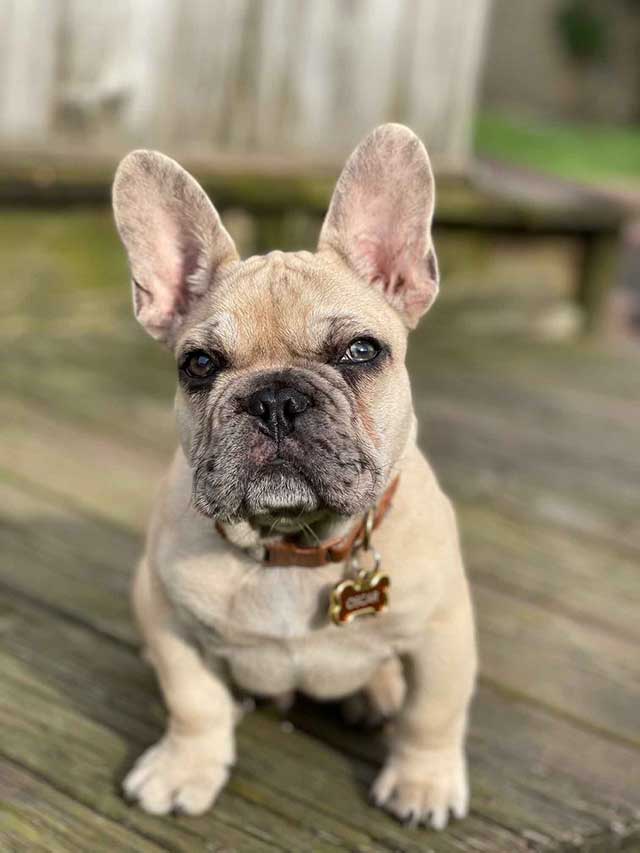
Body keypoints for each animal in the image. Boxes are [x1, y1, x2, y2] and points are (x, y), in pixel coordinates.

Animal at [112, 123, 478, 828]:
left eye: (361, 351)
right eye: (199, 364)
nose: (274, 399)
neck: (293, 545)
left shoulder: (445, 630)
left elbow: (433, 714)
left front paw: (421, 782)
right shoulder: (167, 619)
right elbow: (193, 703)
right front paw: (185, 767)